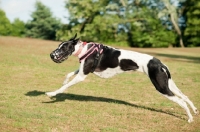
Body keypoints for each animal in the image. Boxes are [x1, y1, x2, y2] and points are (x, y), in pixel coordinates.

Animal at [46, 33, 198, 122]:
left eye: (63, 48)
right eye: (58, 46)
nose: (51, 55)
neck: (84, 50)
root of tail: (160, 63)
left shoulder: (82, 75)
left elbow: (64, 87)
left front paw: (52, 93)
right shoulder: (82, 71)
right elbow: (68, 75)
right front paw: (63, 81)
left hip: (161, 87)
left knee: (181, 101)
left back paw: (189, 118)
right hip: (169, 84)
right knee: (185, 96)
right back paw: (195, 111)